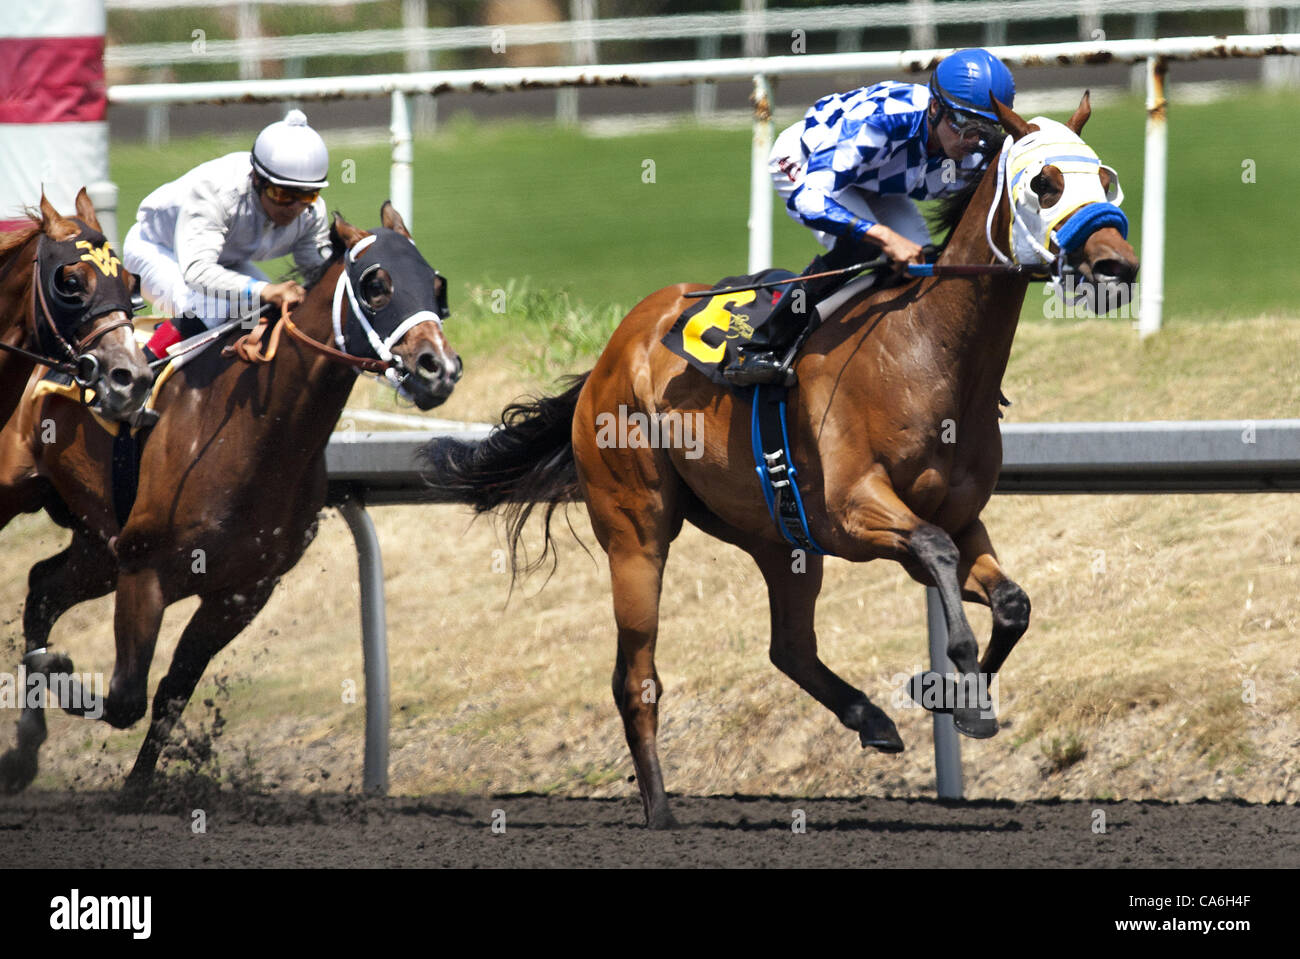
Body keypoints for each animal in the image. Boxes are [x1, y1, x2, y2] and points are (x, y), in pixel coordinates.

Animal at [423, 97, 1138, 831]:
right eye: (1043, 183)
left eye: (1105, 179)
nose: (1117, 266)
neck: (930, 351)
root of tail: (609, 356)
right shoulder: (856, 510)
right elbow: (937, 552)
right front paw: (958, 683)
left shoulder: (958, 520)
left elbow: (1011, 601)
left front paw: (958, 699)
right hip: (637, 531)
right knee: (635, 677)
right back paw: (660, 811)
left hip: (779, 536)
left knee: (788, 645)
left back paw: (869, 717)